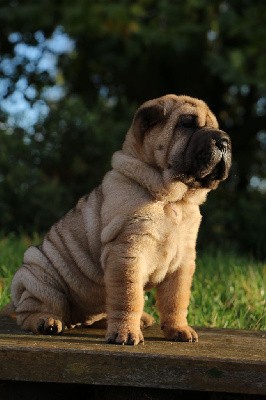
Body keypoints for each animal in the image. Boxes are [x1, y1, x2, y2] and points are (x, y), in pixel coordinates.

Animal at [10, 94, 231, 344]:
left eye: (217, 127)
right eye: (187, 124)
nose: (224, 141)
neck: (173, 200)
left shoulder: (182, 262)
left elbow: (176, 299)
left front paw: (179, 329)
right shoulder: (128, 253)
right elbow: (128, 297)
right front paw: (125, 333)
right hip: (39, 277)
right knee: (33, 309)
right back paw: (45, 321)